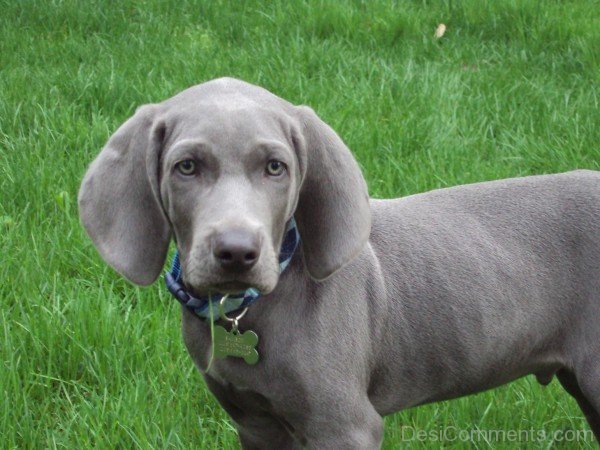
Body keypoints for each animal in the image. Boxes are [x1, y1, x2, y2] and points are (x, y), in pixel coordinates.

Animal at [79, 76, 600, 446]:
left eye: (275, 167)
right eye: (186, 167)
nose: (237, 253)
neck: (247, 310)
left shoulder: (344, 425)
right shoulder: (256, 424)